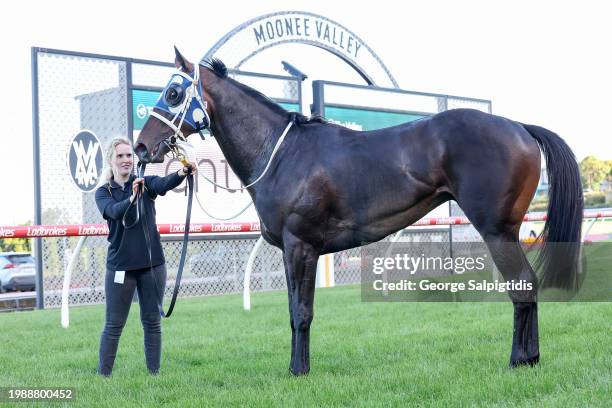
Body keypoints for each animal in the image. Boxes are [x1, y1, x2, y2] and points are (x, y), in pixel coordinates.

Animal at [134, 48, 584, 376]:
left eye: (173, 93)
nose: (141, 147)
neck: (281, 153)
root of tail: (519, 127)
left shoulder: (301, 246)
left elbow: (301, 312)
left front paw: (298, 371)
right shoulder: (291, 251)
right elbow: (293, 309)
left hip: (497, 231)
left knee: (523, 286)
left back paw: (519, 360)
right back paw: (530, 358)